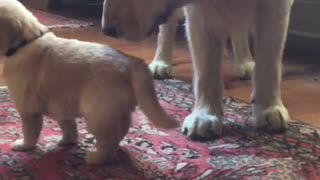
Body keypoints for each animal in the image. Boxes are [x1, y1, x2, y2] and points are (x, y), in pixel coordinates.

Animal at [0, 0, 179, 164]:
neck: (25, 42)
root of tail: (131, 63)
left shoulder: (29, 110)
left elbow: (30, 131)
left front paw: (24, 146)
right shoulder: (61, 105)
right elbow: (68, 125)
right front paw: (67, 141)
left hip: (97, 115)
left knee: (109, 139)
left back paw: (96, 158)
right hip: (114, 112)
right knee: (121, 130)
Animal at [102, 0, 292, 139]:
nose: (107, 31)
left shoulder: (276, 8)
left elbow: (268, 64)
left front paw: (269, 107)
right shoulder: (200, 12)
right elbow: (206, 72)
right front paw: (205, 115)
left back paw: (245, 62)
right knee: (167, 27)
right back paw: (160, 62)